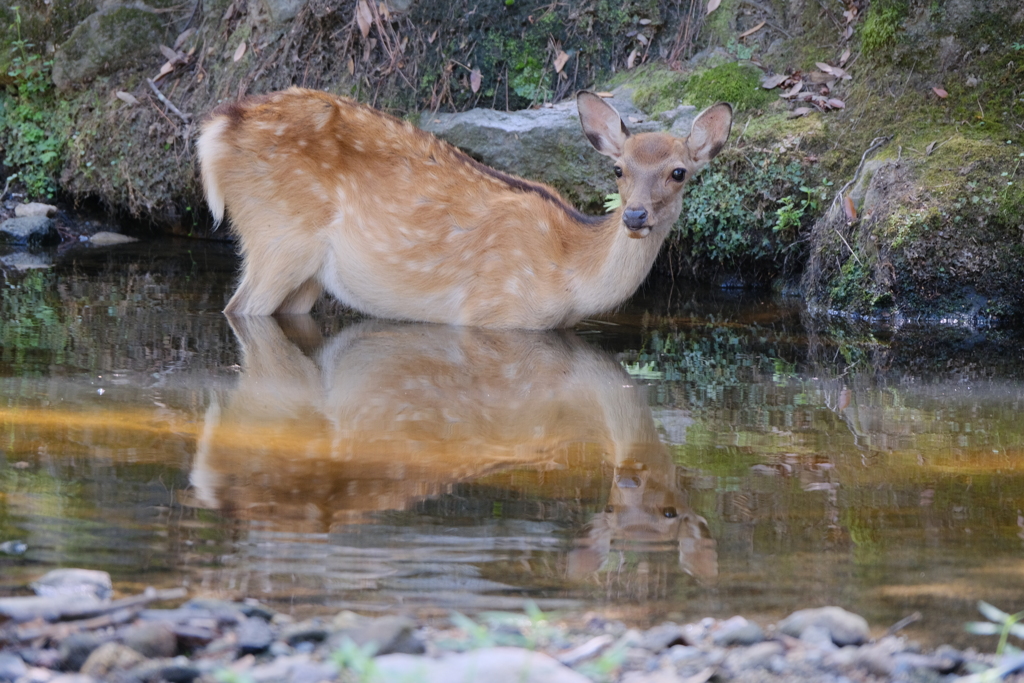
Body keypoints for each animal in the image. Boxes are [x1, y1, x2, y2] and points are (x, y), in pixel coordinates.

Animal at [195, 89, 733, 331]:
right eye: (618, 169)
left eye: (679, 172)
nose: (636, 216)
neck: (568, 279)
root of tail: (217, 129)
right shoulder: (492, 313)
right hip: (277, 235)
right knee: (238, 307)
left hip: (305, 271)